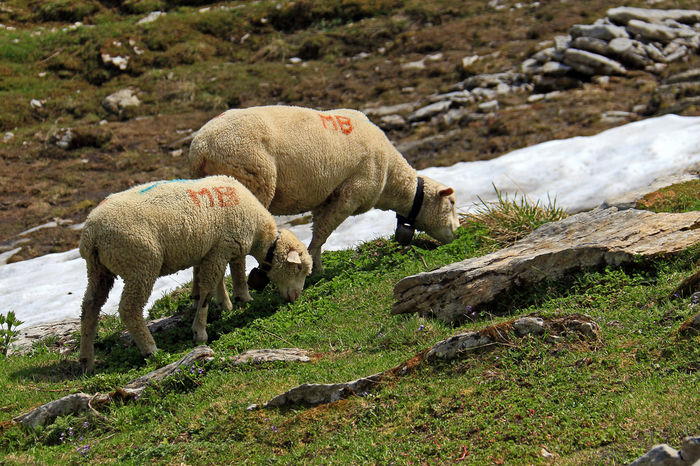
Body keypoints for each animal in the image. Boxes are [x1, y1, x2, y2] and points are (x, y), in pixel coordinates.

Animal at [77, 175, 314, 372]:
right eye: (299, 268)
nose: (296, 297)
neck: (259, 235)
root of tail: (92, 232)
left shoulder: (212, 251)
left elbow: (218, 281)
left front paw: (227, 304)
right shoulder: (223, 247)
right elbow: (213, 286)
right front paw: (201, 331)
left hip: (99, 270)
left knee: (89, 308)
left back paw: (86, 361)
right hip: (140, 264)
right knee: (129, 309)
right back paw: (151, 349)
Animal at [189, 104, 460, 276]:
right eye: (452, 203)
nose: (456, 232)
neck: (391, 179)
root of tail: (201, 148)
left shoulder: (325, 196)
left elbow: (318, 230)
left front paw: (315, 264)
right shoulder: (350, 192)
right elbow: (322, 233)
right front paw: (313, 269)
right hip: (251, 178)